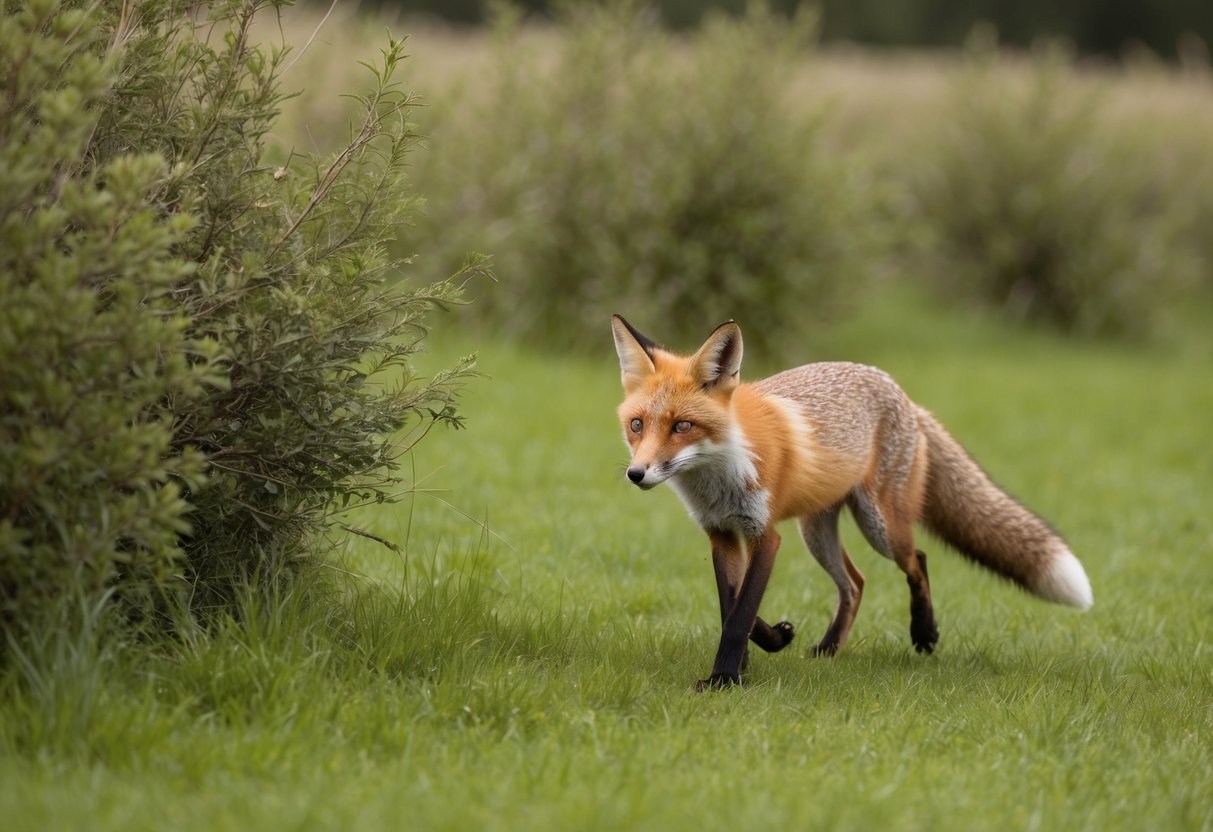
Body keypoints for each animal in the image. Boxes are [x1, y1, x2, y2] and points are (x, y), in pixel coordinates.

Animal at [611, 314, 1093, 690]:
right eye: (637, 425)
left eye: (682, 426)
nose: (636, 474)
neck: (718, 473)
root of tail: (905, 396)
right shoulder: (722, 533)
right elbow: (733, 607)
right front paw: (767, 645)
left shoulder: (766, 534)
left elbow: (740, 614)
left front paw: (724, 680)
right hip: (816, 531)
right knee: (855, 583)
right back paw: (829, 648)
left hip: (879, 526)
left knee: (917, 558)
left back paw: (924, 632)